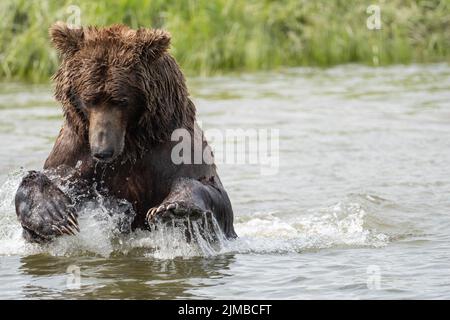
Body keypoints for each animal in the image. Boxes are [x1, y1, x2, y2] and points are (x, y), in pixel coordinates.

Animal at [13, 23, 236, 242]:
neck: (130, 145)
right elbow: (51, 180)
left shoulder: (172, 152)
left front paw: (173, 209)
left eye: (121, 101)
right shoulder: (75, 154)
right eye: (89, 99)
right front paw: (53, 213)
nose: (103, 151)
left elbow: (212, 193)